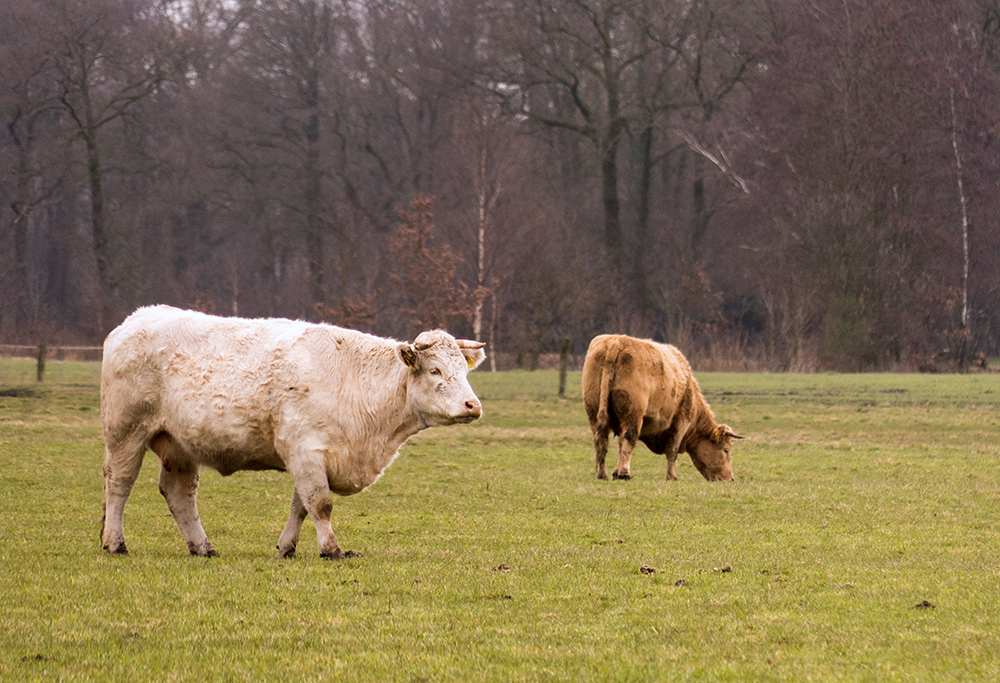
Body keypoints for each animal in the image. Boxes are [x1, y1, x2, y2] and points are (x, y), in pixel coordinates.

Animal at [100, 308, 484, 560]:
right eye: (435, 370)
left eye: (464, 370)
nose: (473, 405)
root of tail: (136, 318)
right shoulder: (305, 449)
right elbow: (321, 503)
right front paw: (331, 550)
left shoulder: (312, 458)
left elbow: (301, 505)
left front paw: (287, 547)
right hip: (125, 431)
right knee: (119, 484)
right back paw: (115, 543)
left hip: (179, 445)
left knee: (179, 494)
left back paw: (203, 548)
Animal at [584, 336, 740, 480]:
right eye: (726, 450)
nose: (731, 478)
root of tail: (616, 341)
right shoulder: (681, 421)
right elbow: (672, 450)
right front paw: (671, 476)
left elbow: (620, 445)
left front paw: (615, 471)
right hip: (633, 415)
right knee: (629, 437)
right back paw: (624, 473)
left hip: (593, 412)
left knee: (600, 440)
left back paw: (602, 474)